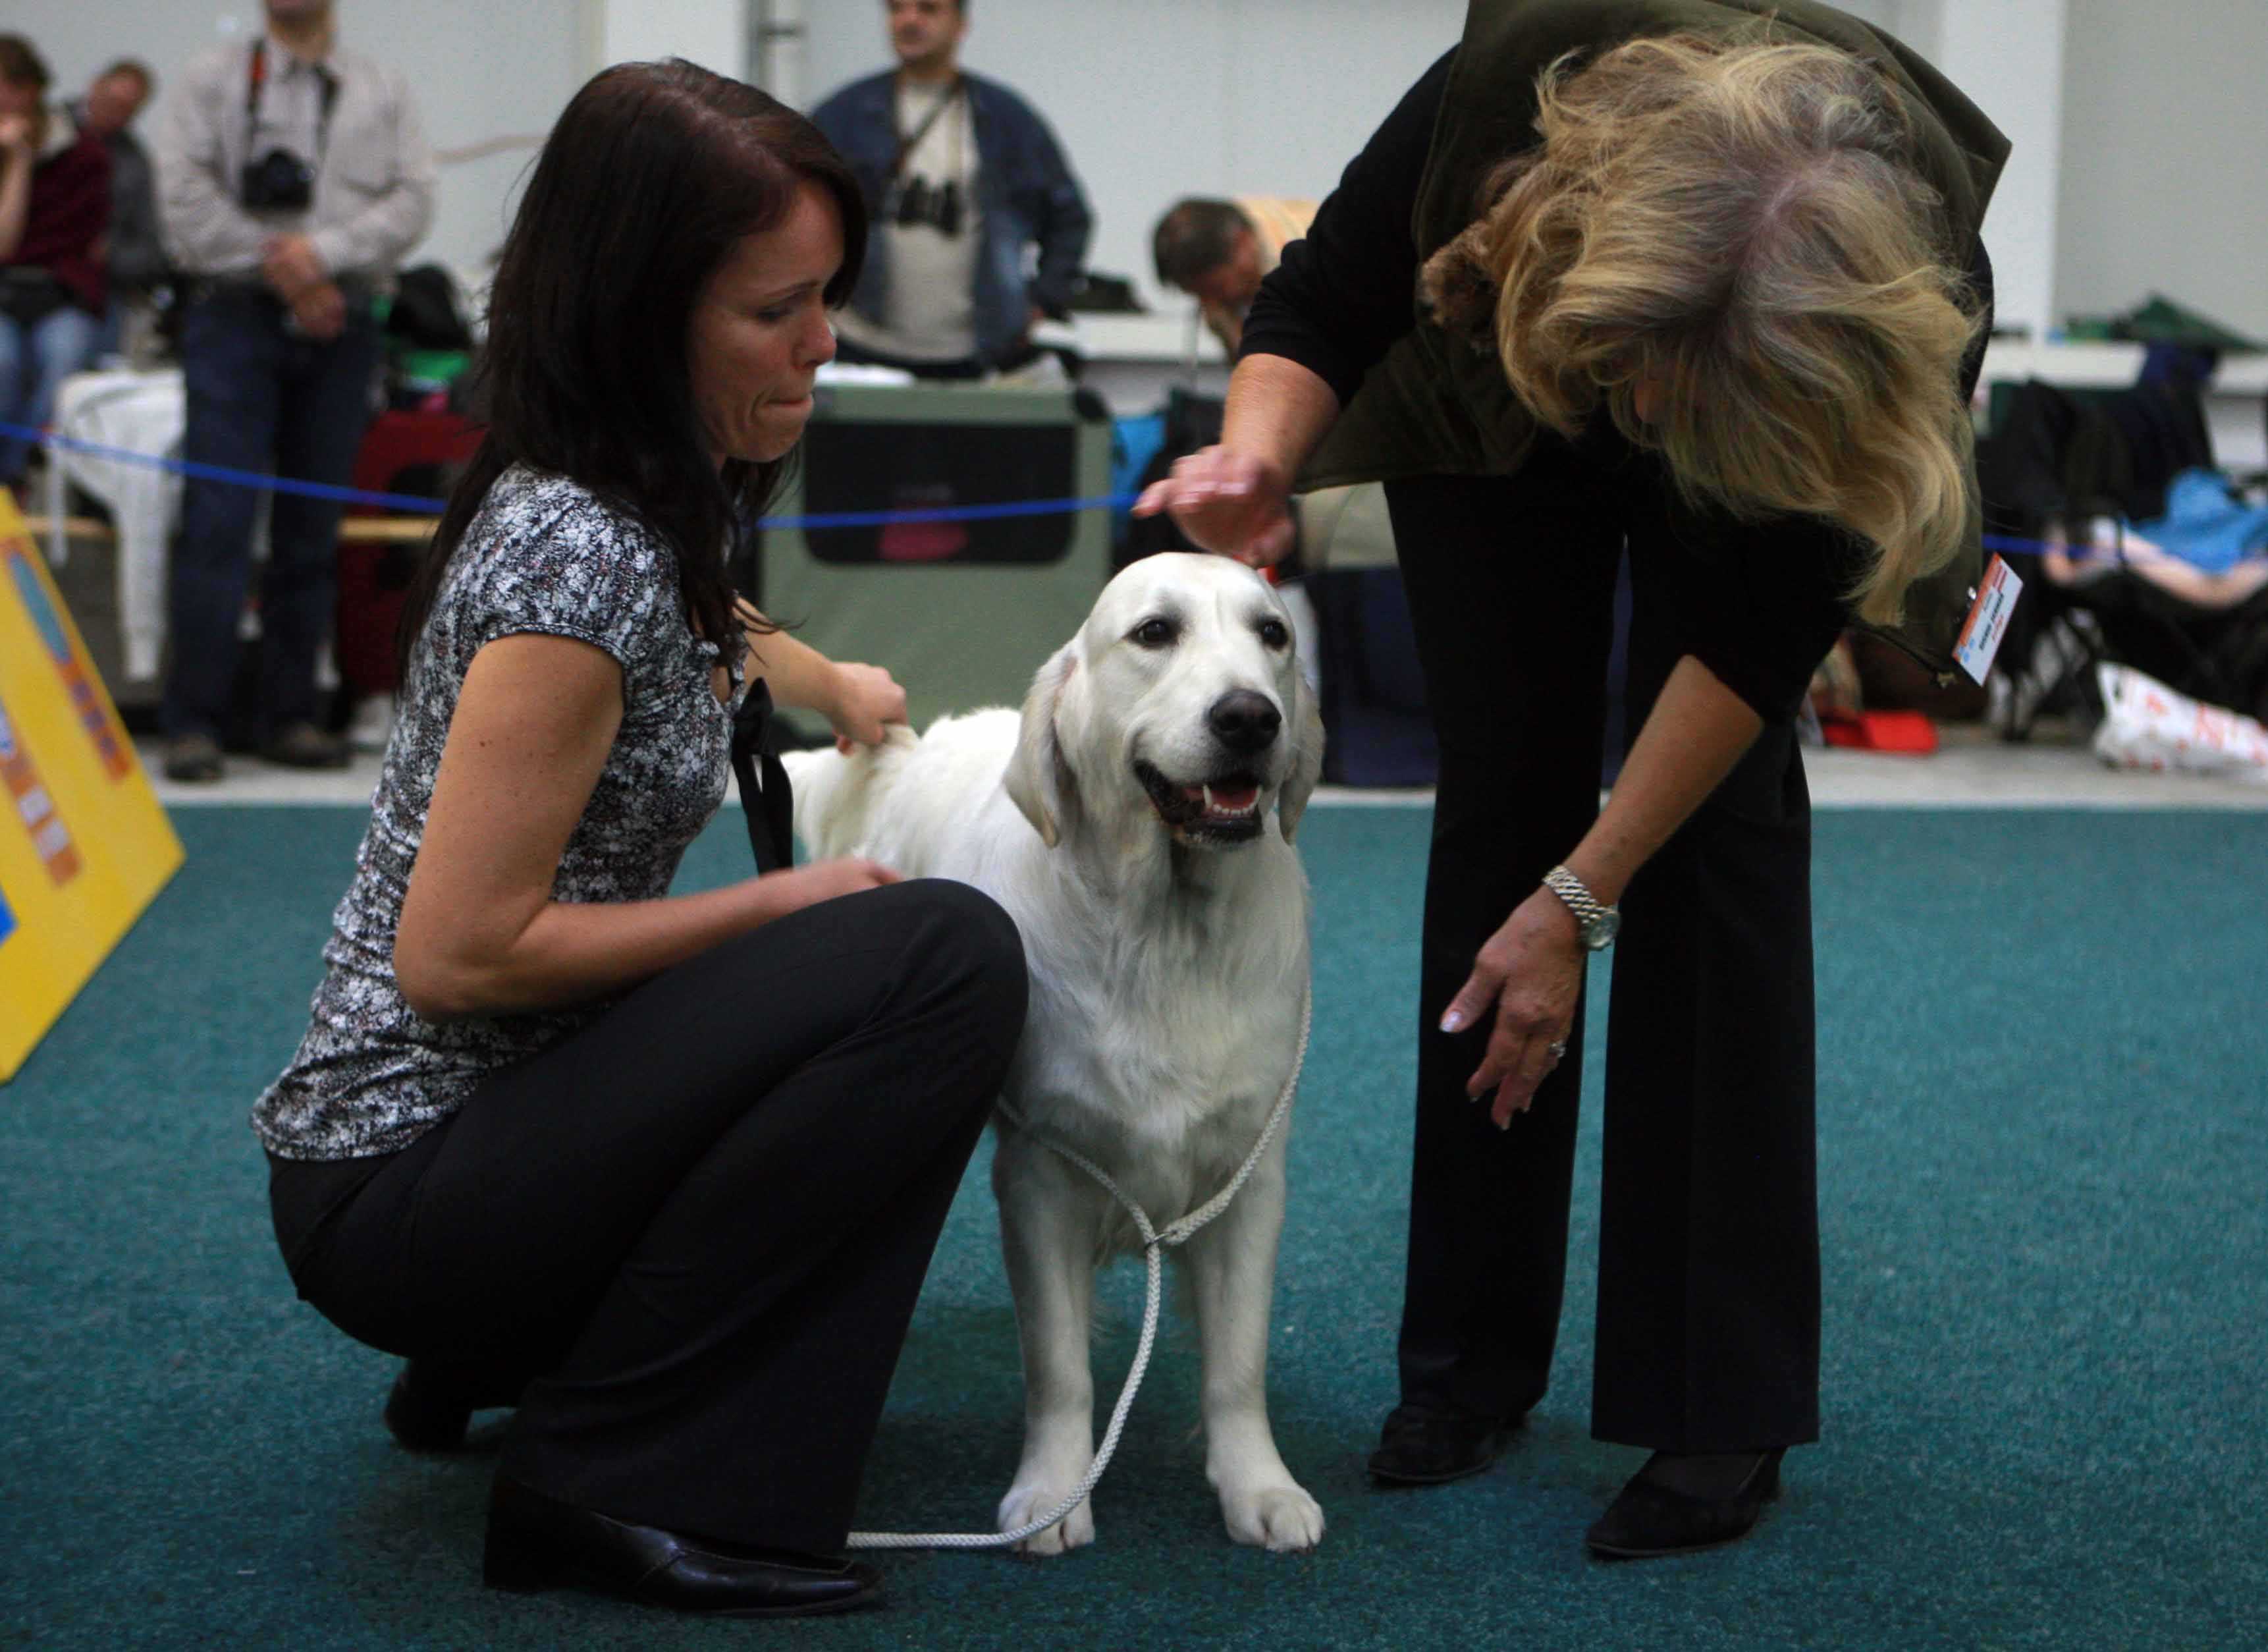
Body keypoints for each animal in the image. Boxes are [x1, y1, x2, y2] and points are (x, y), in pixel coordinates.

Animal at [789, 551, 1324, 1552]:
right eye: (1154, 632)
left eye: (1273, 634)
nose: (1249, 717)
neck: (1165, 931)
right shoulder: (1041, 1177)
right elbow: (1059, 1365)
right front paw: (1051, 1495)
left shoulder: (1250, 1179)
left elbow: (1237, 1364)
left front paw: (1259, 1489)